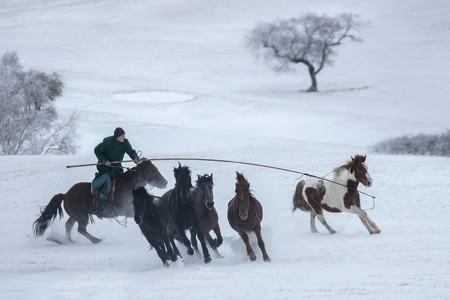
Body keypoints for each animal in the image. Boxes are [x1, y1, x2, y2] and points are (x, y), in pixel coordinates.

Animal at [32, 159, 167, 244]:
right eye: (150, 171)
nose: (164, 182)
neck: (129, 185)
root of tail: (65, 195)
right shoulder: (127, 210)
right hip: (82, 216)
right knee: (81, 229)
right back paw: (96, 240)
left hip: (76, 216)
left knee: (69, 225)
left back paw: (69, 241)